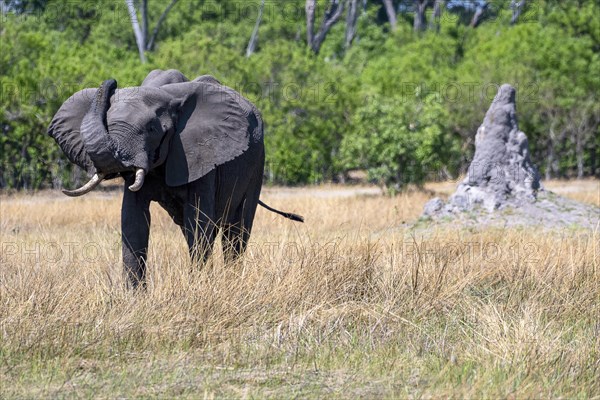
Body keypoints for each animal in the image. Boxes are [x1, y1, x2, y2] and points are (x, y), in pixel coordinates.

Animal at [47, 69, 302, 288]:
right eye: (107, 125)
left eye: (152, 129)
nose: (113, 83)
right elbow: (133, 220)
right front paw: (135, 298)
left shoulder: (201, 155)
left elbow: (198, 220)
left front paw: (198, 288)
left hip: (257, 162)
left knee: (236, 230)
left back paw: (232, 281)